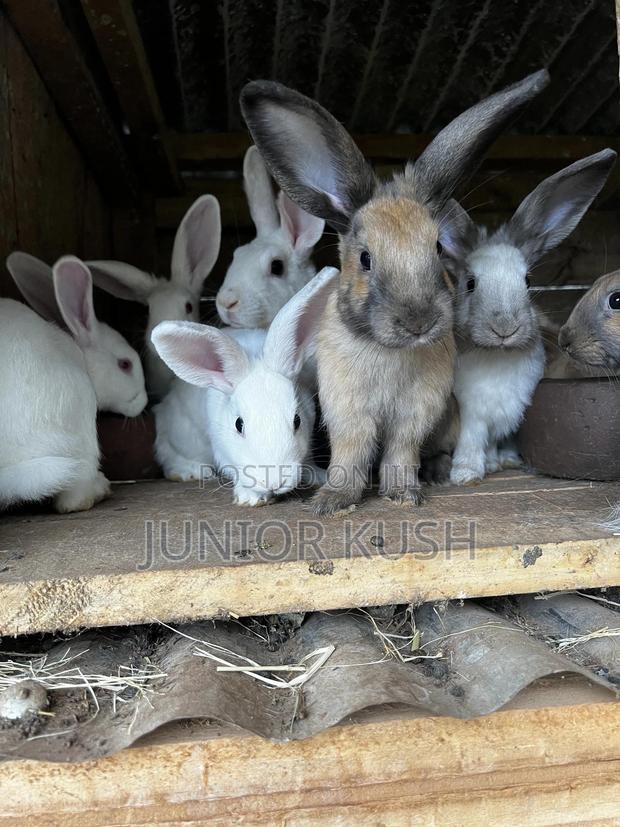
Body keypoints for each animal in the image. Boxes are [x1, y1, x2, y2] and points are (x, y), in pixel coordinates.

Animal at [151, 266, 339, 505]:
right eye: (238, 425)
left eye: (297, 420)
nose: (274, 482)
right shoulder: (222, 450)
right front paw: (251, 498)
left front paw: (319, 476)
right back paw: (189, 471)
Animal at [240, 70, 549, 515]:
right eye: (365, 258)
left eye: (436, 247)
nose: (419, 321)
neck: (390, 351)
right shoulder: (347, 409)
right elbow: (351, 451)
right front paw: (333, 502)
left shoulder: (416, 413)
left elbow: (403, 450)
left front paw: (403, 495)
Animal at [438, 149, 616, 485]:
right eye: (470, 283)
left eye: (527, 280)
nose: (505, 327)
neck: (500, 356)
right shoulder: (473, 414)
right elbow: (471, 440)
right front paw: (466, 474)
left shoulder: (508, 413)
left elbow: (494, 441)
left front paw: (497, 463)